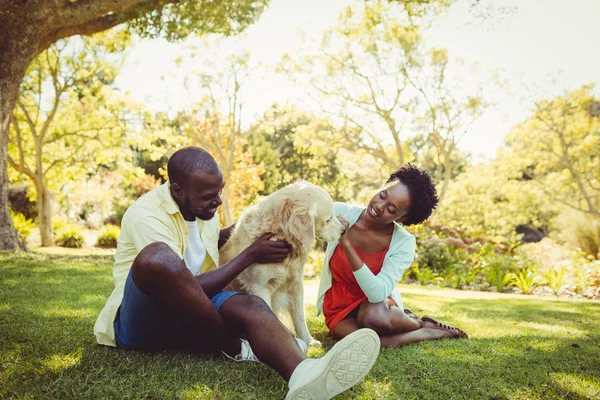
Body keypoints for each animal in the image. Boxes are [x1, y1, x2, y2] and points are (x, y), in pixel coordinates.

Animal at [220, 181, 344, 346]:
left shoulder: (296, 283)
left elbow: (300, 317)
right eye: (328, 219)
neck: (280, 236)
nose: (343, 230)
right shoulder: (260, 287)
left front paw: (308, 341)